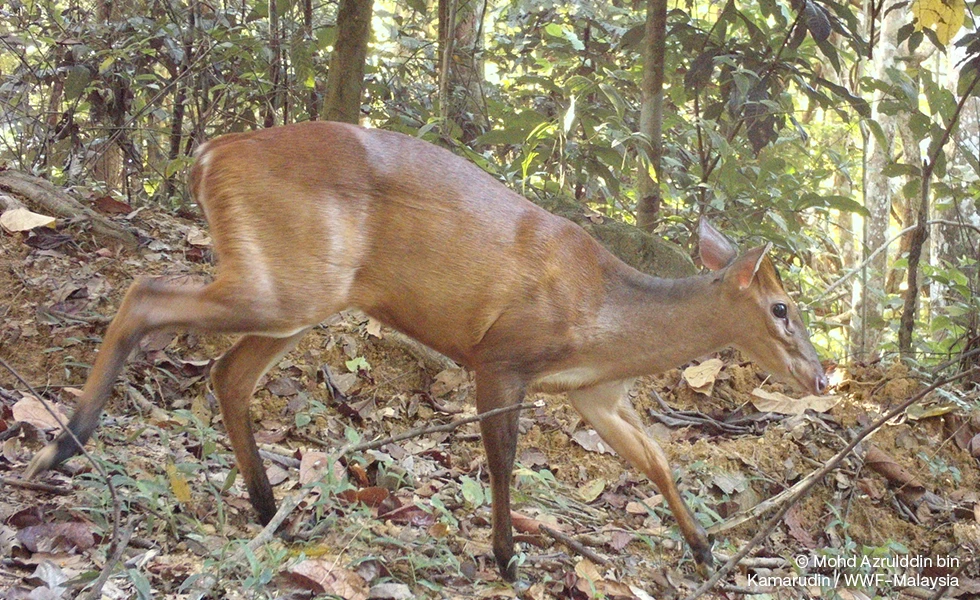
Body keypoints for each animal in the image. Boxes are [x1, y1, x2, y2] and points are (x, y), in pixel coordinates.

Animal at [26, 120, 827, 581]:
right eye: (783, 308)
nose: (820, 376)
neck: (605, 313)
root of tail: (208, 156)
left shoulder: (591, 392)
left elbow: (656, 458)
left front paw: (704, 548)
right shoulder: (501, 356)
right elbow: (503, 458)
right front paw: (505, 558)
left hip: (299, 296)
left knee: (227, 373)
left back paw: (268, 507)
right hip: (288, 284)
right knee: (144, 292)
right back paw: (63, 445)